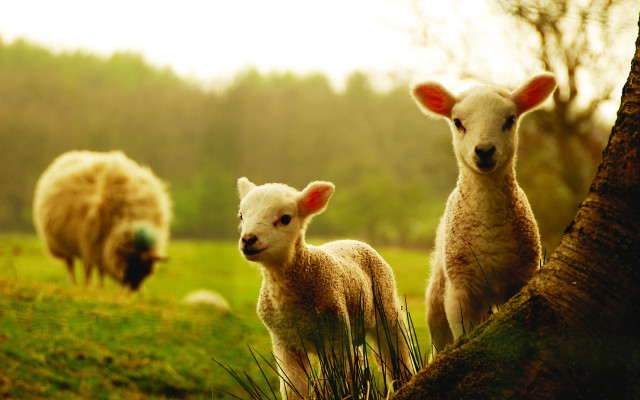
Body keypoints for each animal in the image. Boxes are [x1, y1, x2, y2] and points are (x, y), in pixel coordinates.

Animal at [33, 150, 172, 291]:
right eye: (130, 264)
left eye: (146, 271)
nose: (133, 290)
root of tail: (68, 155)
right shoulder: (93, 243)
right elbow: (94, 269)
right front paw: (94, 287)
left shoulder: (101, 247)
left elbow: (101, 270)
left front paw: (100, 287)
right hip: (63, 244)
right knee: (70, 264)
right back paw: (75, 283)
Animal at [237, 177, 413, 399]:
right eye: (242, 216)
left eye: (285, 218)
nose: (248, 240)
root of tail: (354, 240)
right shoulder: (285, 343)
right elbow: (293, 388)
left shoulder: (334, 336)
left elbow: (330, 386)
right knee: (358, 360)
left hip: (386, 307)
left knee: (397, 355)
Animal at [410, 73, 557, 355]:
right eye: (457, 122)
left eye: (510, 120)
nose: (485, 150)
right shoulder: (460, 292)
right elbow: (463, 335)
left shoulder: (520, 281)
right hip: (437, 298)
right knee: (438, 343)